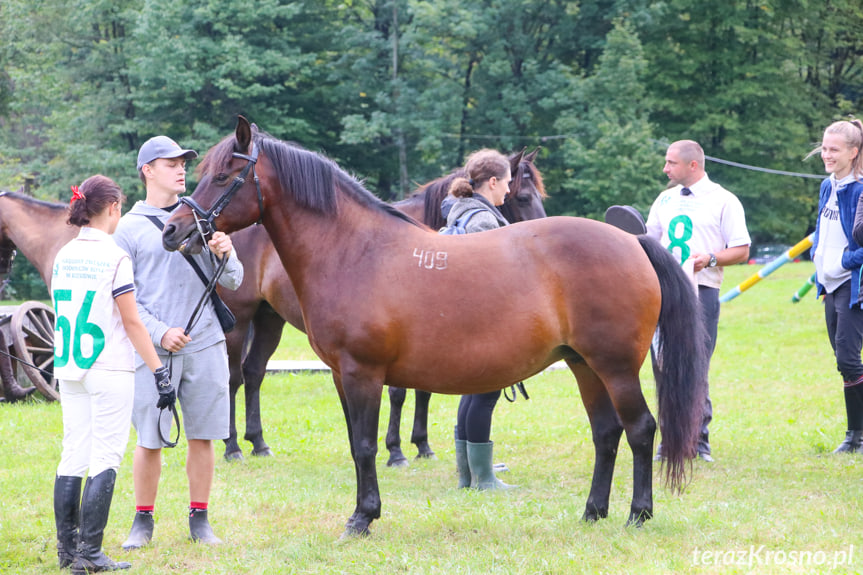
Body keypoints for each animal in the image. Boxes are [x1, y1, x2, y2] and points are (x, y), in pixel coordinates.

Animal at [223, 148, 548, 464]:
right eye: (522, 197)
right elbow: (398, 393)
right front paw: (396, 450)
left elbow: (423, 391)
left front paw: (422, 445)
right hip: (238, 321)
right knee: (233, 376)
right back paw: (232, 446)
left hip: (269, 318)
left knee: (254, 372)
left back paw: (258, 442)